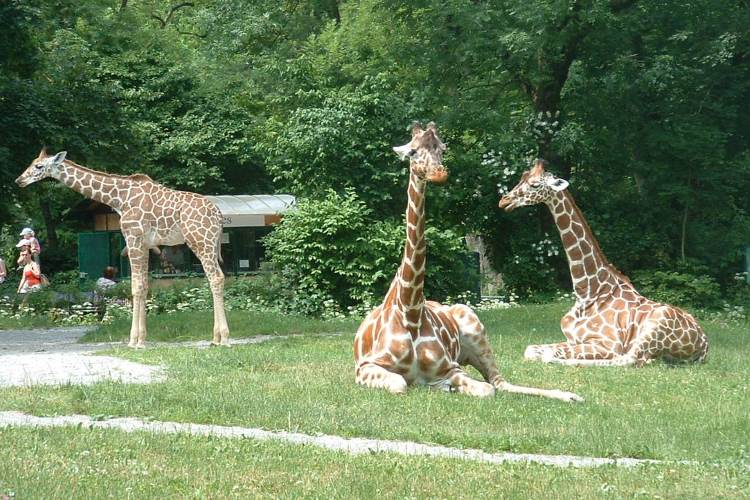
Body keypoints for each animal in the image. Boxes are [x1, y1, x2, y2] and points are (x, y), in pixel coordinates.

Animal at [16, 148, 229, 348]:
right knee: (214, 279)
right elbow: (144, 286)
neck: (119, 198)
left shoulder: (133, 239)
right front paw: (142, 338)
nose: (19, 180)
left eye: (38, 166)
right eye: (32, 163)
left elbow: (136, 287)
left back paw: (224, 338)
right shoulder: (145, 245)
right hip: (207, 244)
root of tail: (219, 216)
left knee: (216, 278)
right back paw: (215, 338)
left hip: (201, 241)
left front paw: (134, 341)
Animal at [356, 124, 584, 402]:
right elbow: (400, 383)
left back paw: (571, 395)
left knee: (498, 382)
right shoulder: (365, 366)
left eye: (442, 148)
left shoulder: (451, 368)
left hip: (474, 326)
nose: (439, 173)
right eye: (412, 151)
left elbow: (485, 389)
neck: (410, 312)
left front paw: (445, 387)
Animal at [500, 160, 712, 368]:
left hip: (657, 323)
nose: (504, 201)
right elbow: (531, 349)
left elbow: (545, 353)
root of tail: (704, 346)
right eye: (522, 178)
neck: (587, 292)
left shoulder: (607, 343)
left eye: (535, 184)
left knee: (627, 360)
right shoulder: (572, 340)